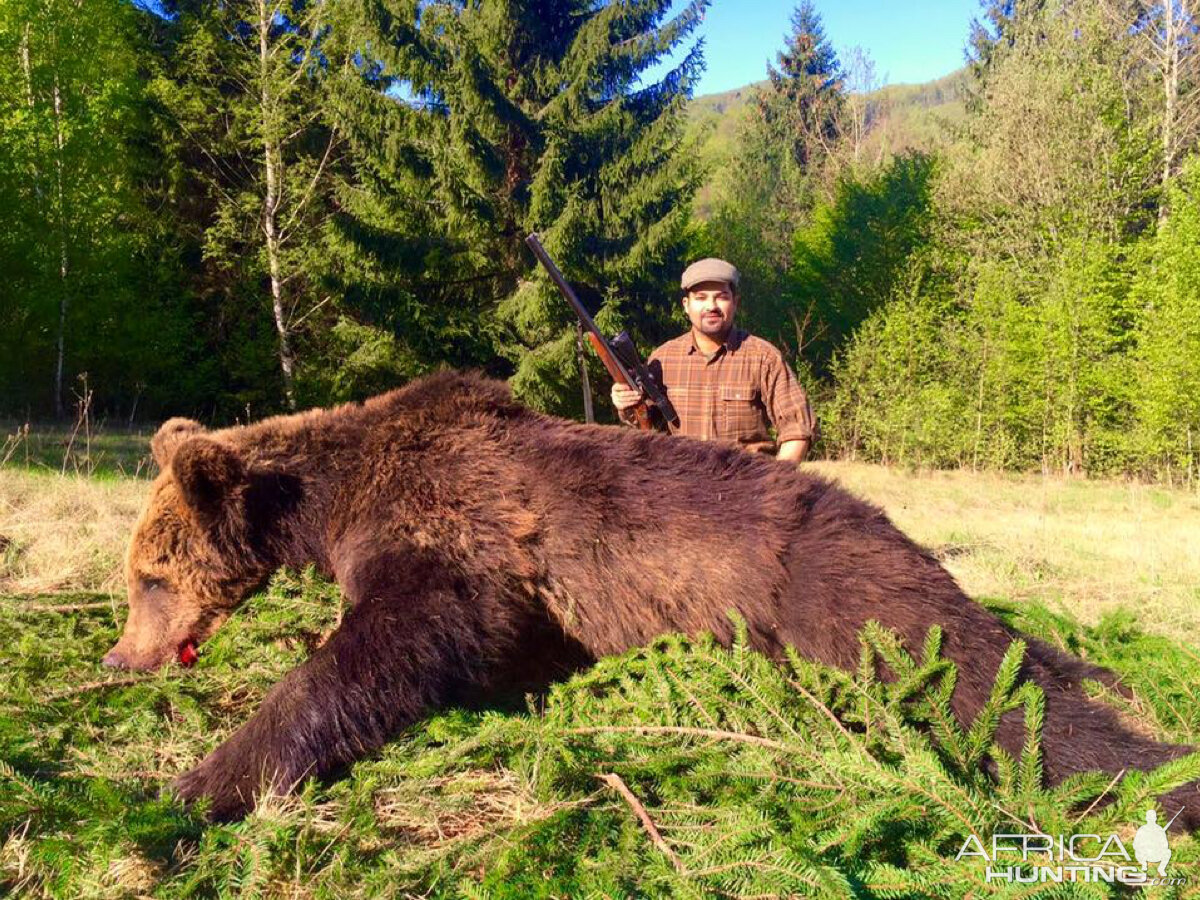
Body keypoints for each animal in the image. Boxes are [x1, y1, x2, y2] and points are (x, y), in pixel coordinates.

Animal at [105, 367, 1200, 825]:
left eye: (151, 575)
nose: (122, 654)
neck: (332, 493)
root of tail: (900, 536)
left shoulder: (456, 531)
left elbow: (393, 644)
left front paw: (198, 782)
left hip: (857, 608)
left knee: (1008, 708)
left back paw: (1156, 771)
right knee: (1032, 658)